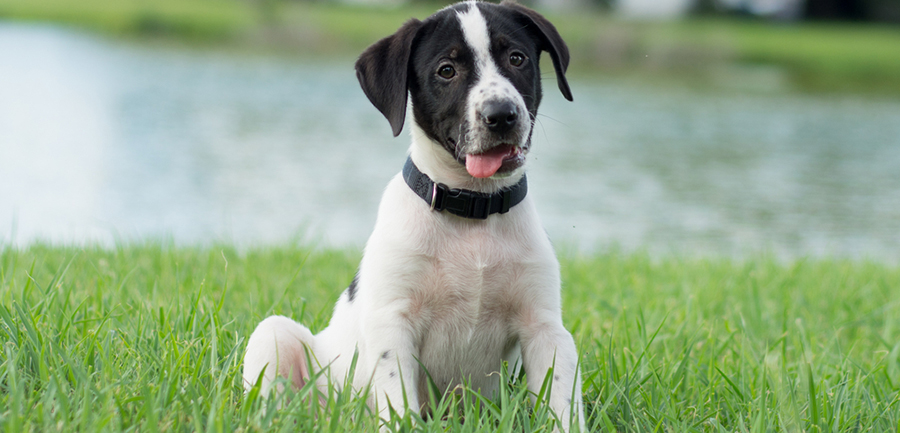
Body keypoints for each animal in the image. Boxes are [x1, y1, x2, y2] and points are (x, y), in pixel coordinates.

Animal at [244, 0, 584, 428]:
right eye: (446, 70)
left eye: (517, 58)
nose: (501, 114)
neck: (473, 210)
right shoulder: (393, 325)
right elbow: (399, 404)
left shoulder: (546, 329)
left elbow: (564, 408)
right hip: (274, 335)